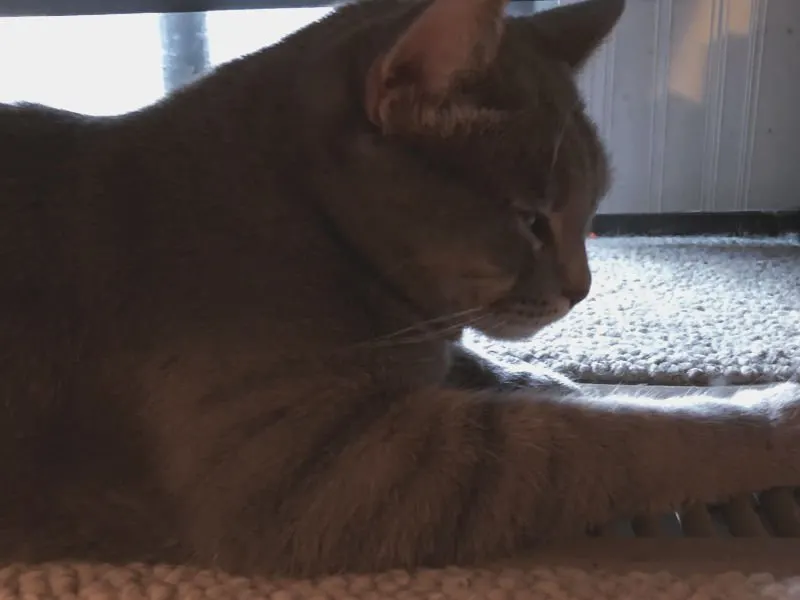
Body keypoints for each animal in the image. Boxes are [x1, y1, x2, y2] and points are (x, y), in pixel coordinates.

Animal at [1, 0, 800, 576]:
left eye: (589, 212)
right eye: (531, 220)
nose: (581, 289)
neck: (309, 224)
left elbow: (505, 372)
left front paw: (560, 381)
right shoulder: (322, 477)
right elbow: (623, 438)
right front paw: (766, 412)